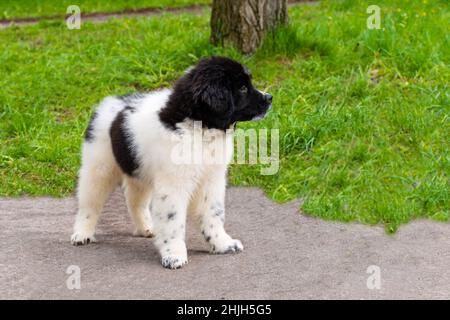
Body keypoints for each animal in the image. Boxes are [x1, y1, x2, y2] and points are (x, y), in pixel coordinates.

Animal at [71, 56, 270, 268]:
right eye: (242, 88)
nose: (270, 98)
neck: (199, 128)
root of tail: (109, 102)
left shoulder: (211, 180)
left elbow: (213, 214)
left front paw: (223, 244)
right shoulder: (174, 185)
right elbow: (173, 221)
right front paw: (174, 255)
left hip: (138, 170)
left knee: (135, 200)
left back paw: (146, 228)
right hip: (99, 166)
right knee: (89, 203)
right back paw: (82, 234)